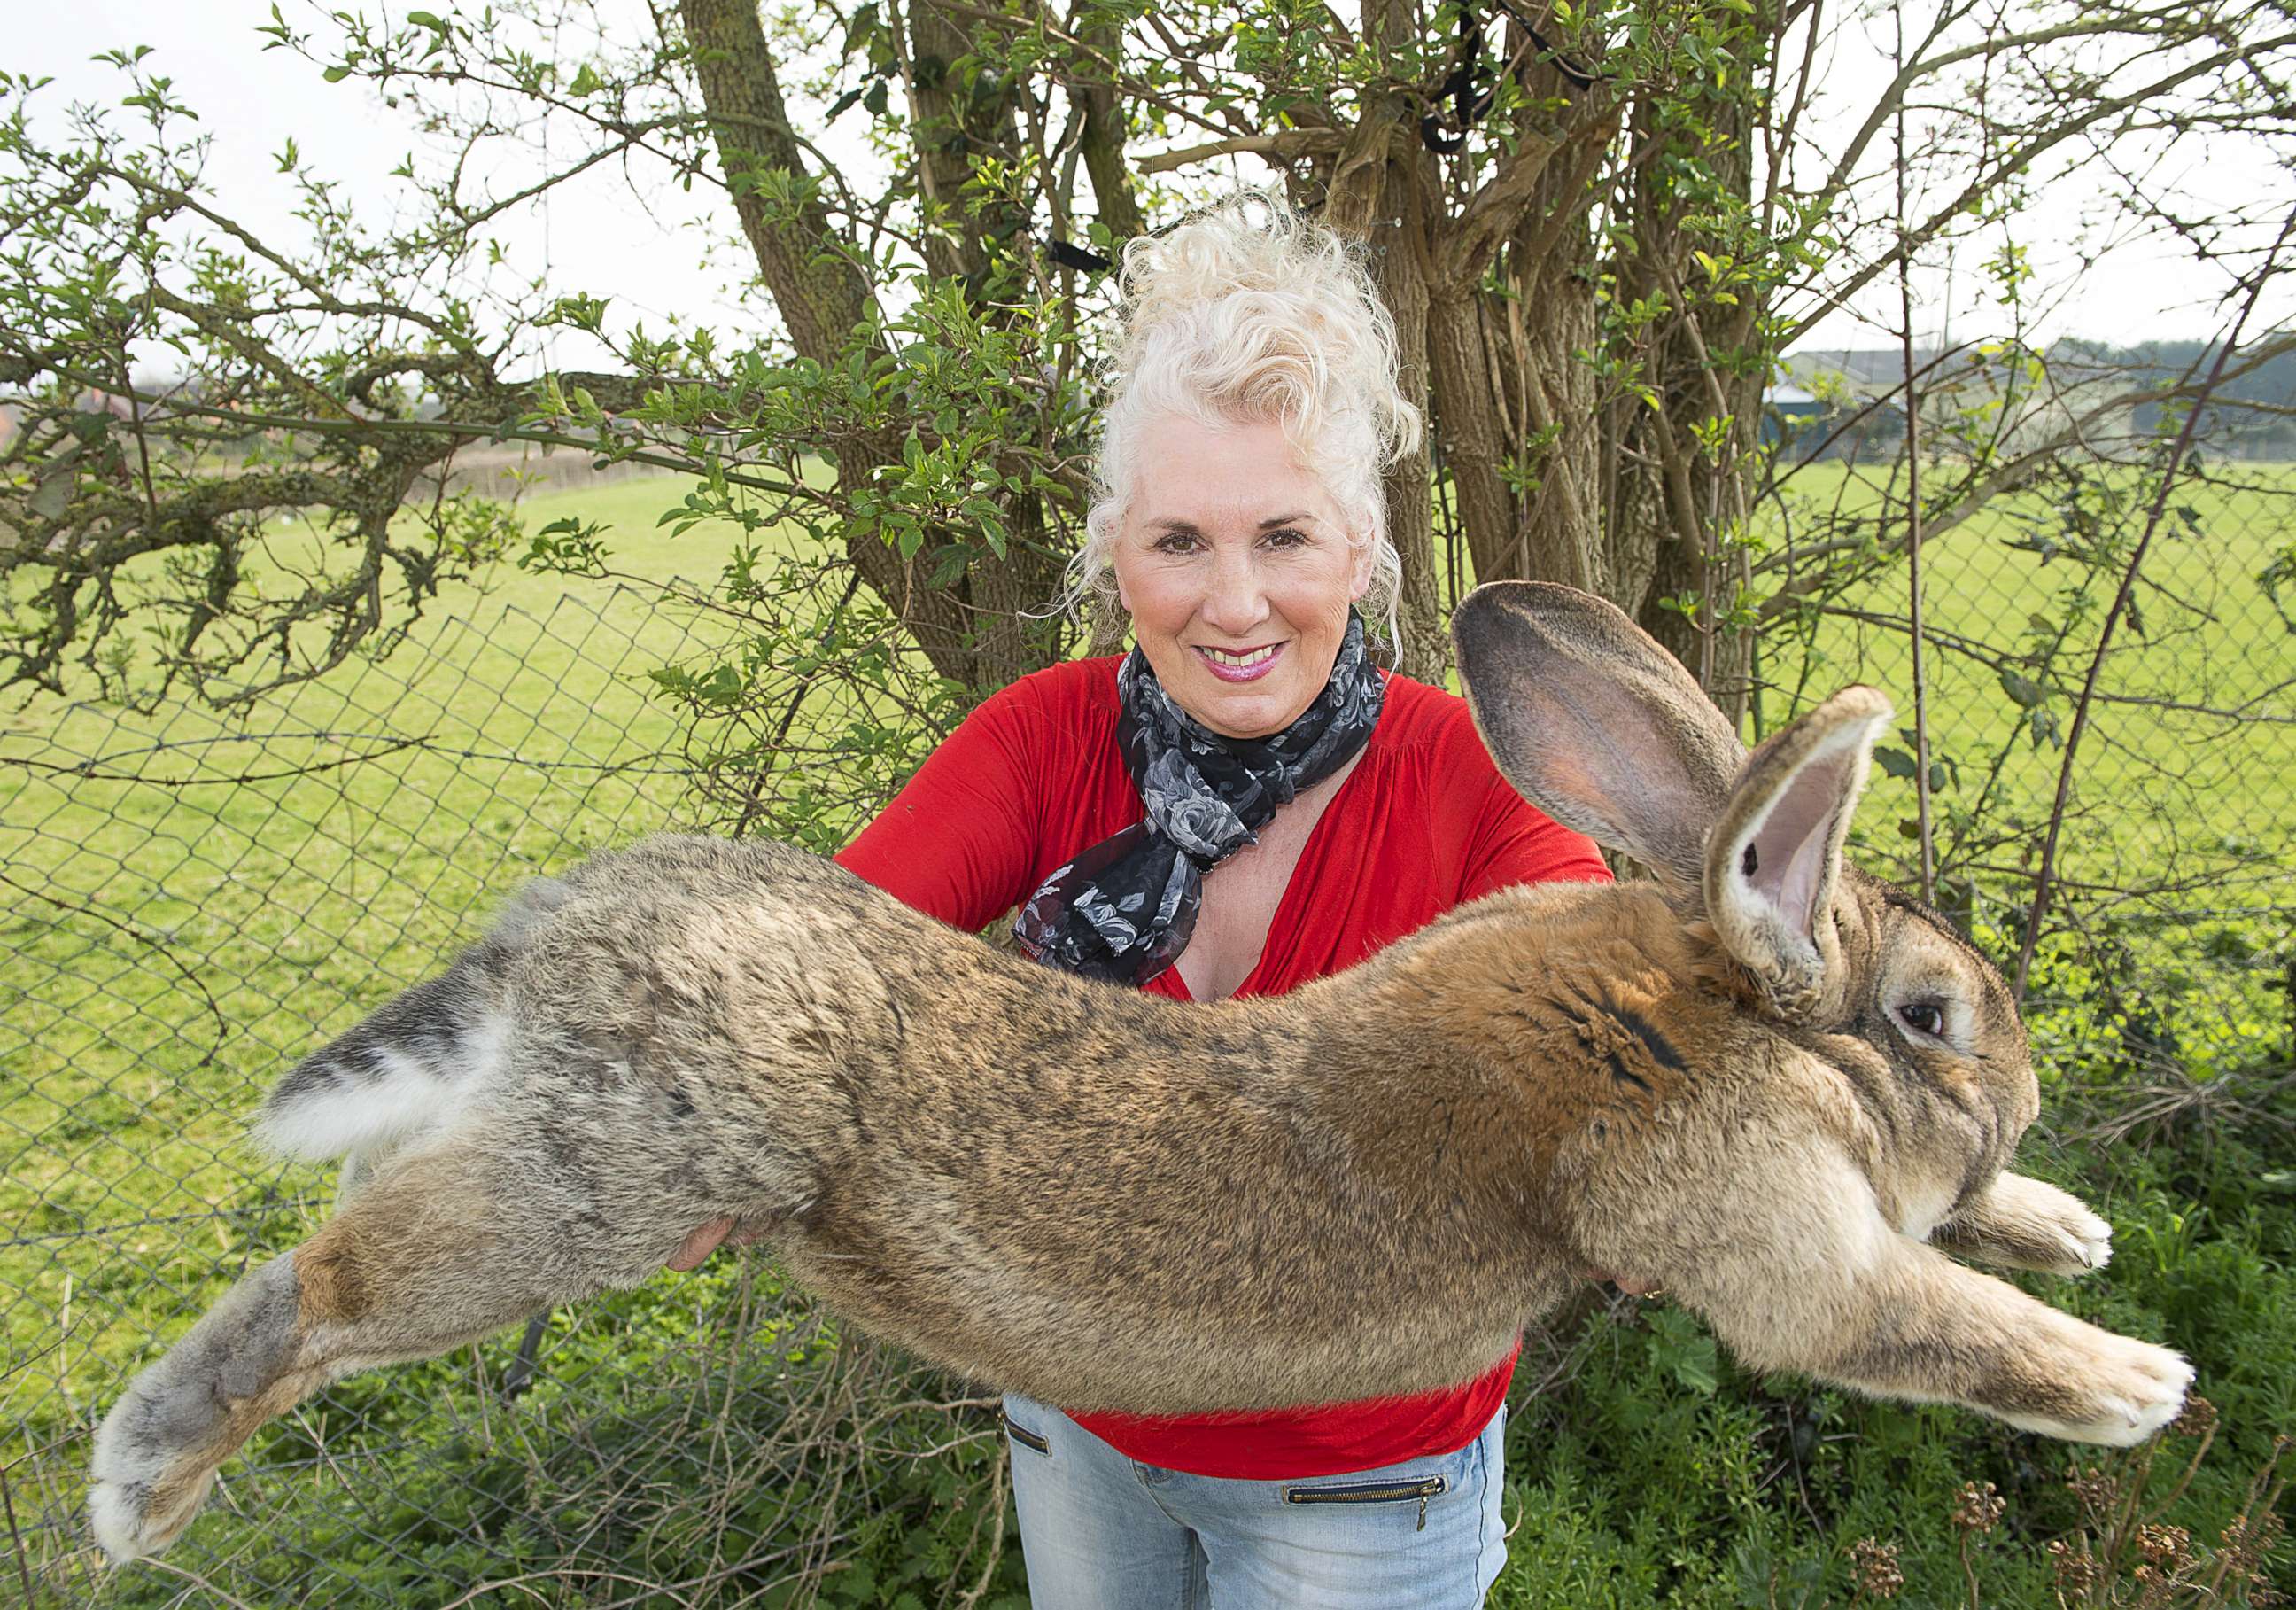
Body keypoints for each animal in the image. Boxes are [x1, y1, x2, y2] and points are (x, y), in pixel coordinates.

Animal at [84, 580, 2185, 1561]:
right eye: (1933, 1015)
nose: (2024, 1098)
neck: (1707, 1005)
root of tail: (560, 932)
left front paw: (2065, 1220)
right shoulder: (1760, 1226)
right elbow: (1912, 1316)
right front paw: (2131, 1378)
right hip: (603, 1181)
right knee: (328, 1285)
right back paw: (139, 1490)